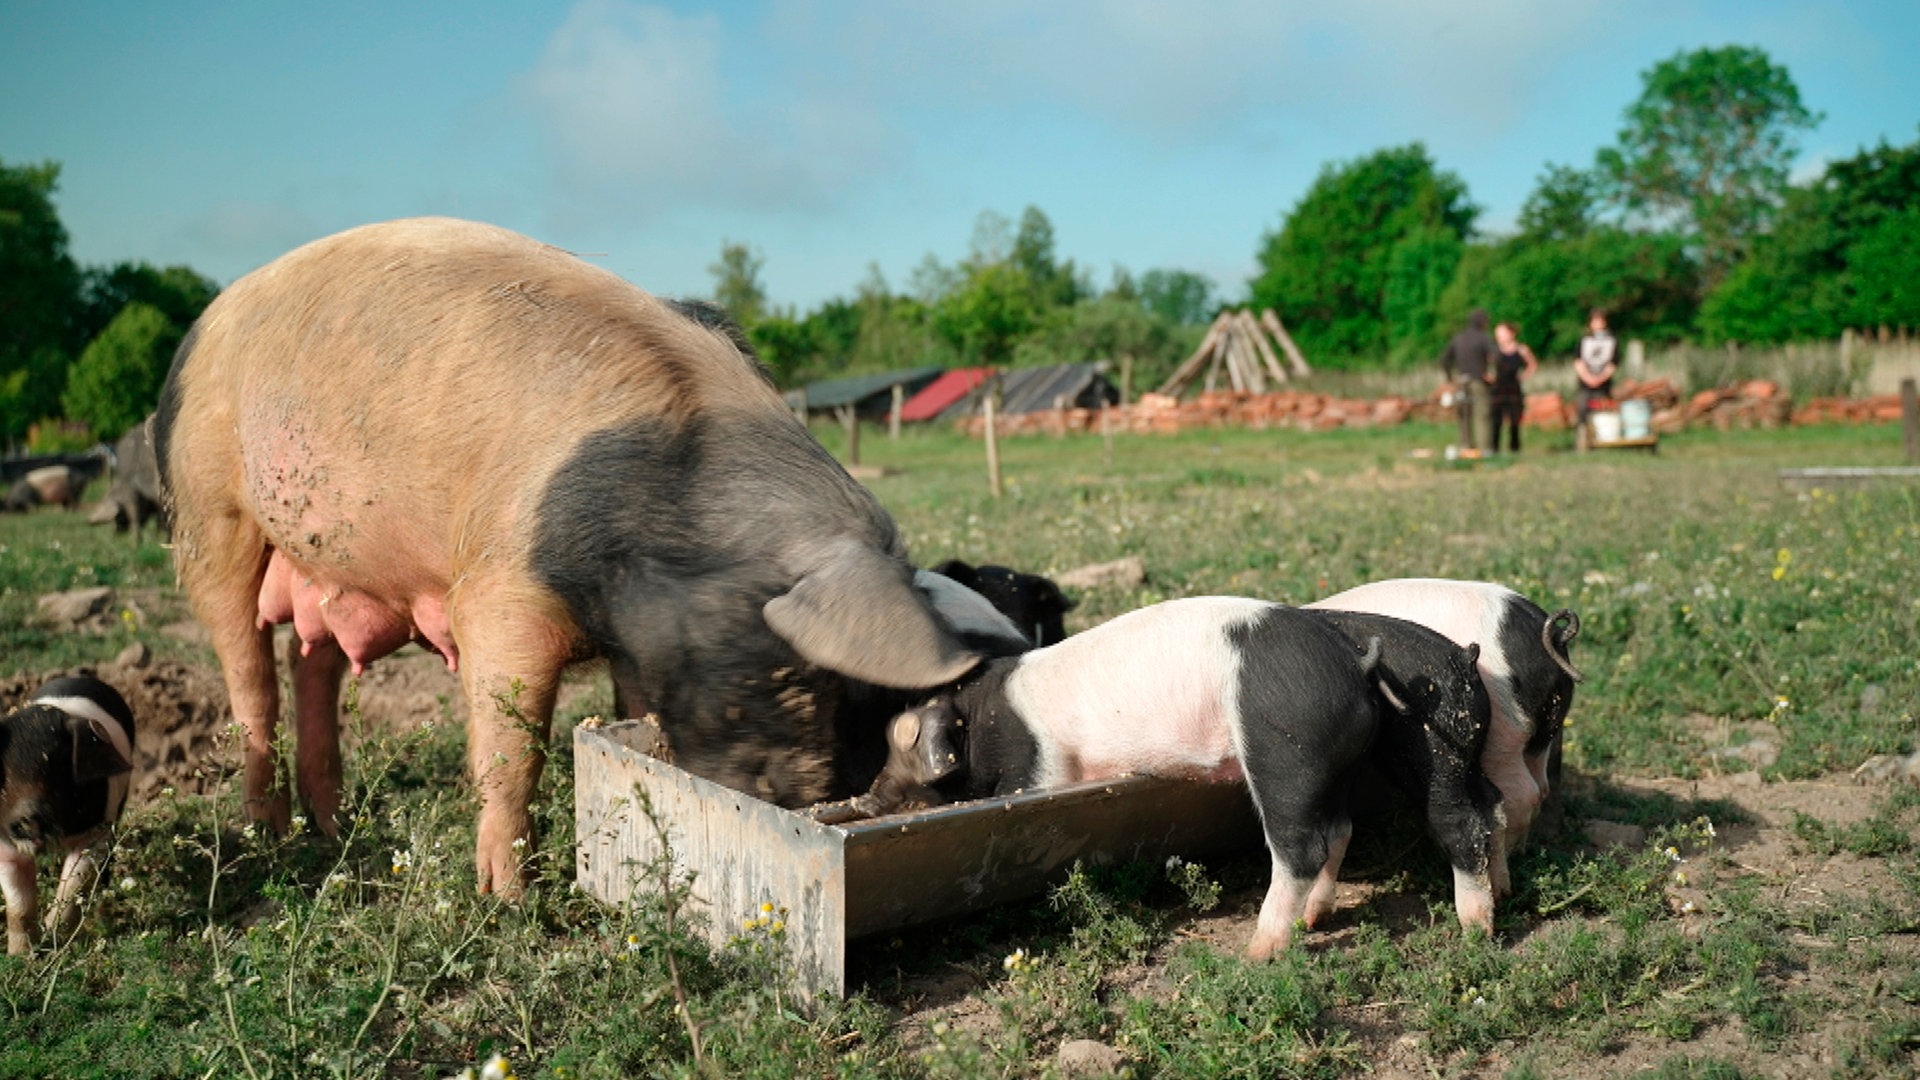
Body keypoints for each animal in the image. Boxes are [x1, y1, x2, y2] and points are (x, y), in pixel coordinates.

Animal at [155, 214, 983, 887]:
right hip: (208, 508)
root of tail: (203, 322)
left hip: (331, 565)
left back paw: (332, 828)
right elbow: (510, 745)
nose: (805, 800)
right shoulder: (499, 591)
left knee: (314, 661)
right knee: (249, 674)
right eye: (789, 677)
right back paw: (269, 835)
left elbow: (633, 709)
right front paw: (506, 896)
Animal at [864, 591, 1489, 953]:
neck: (983, 718)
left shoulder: (1036, 769)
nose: (871, 796)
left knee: (1303, 846)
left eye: (904, 744)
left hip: (1286, 755)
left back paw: (1258, 952)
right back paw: (1315, 923)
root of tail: (1355, 662)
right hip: (1343, 763)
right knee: (1346, 829)